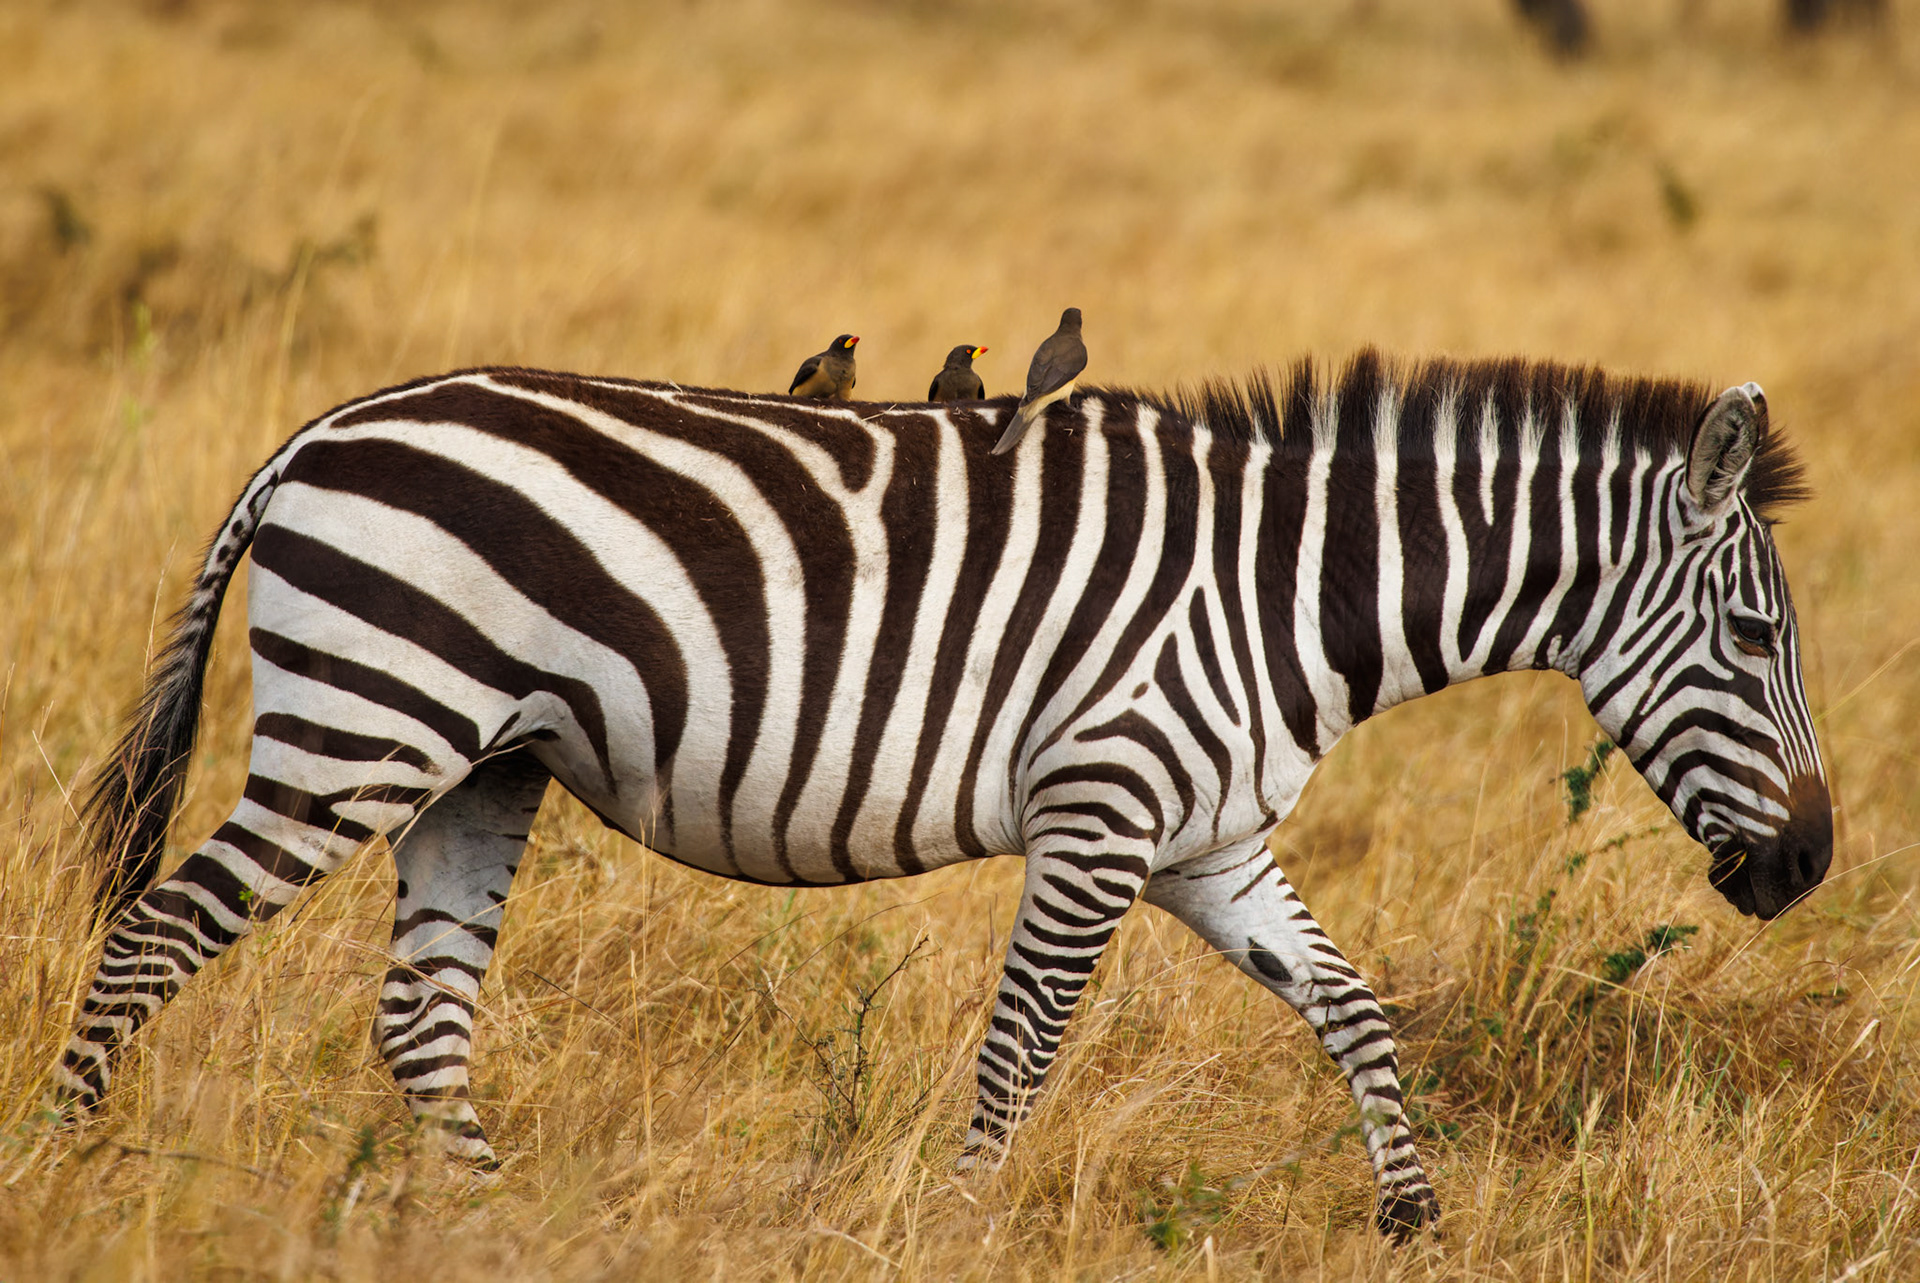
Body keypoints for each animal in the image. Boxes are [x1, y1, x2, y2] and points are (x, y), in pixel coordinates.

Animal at [54, 350, 1830, 1236]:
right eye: (1755, 638)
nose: (1812, 867)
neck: (1285, 594)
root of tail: (322, 429)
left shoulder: (1207, 837)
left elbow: (1353, 1004)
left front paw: (1412, 1212)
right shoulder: (1102, 811)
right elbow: (1023, 1046)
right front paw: (966, 1225)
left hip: (481, 764)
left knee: (418, 1012)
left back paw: (494, 1222)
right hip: (366, 727)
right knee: (153, 933)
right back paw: (65, 1164)